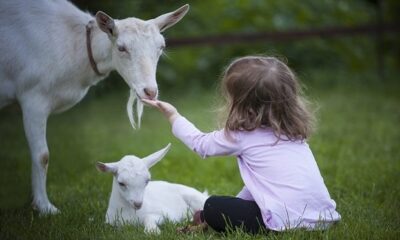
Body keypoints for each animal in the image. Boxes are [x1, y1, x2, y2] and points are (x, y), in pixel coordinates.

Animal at [0, 0, 190, 214]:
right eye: (121, 48)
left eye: (161, 46)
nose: (150, 91)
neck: (75, 45)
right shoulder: (33, 96)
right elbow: (42, 155)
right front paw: (45, 207)